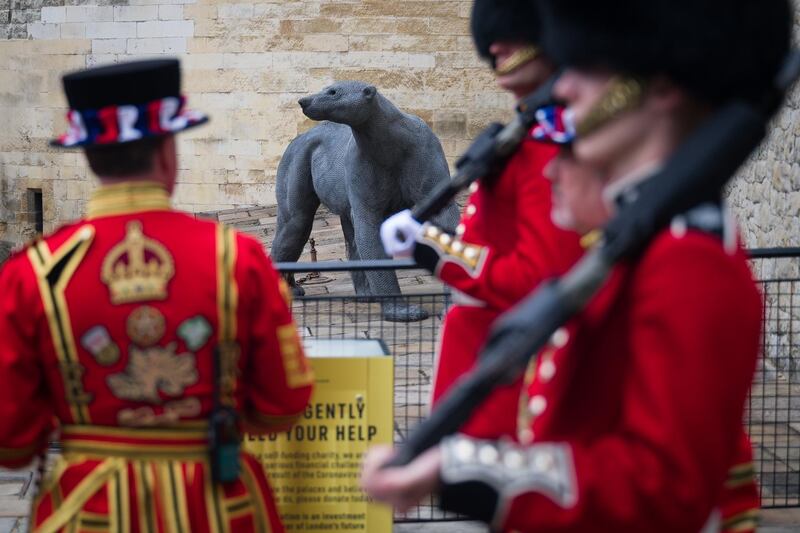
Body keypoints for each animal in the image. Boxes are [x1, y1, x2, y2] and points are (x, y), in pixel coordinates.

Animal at [270, 79, 460, 320]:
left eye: (333, 92)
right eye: (326, 89)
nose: (304, 101)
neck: (390, 142)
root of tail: (298, 139)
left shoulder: (423, 155)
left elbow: (445, 217)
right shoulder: (363, 162)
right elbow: (369, 228)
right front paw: (404, 310)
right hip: (298, 162)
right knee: (295, 223)